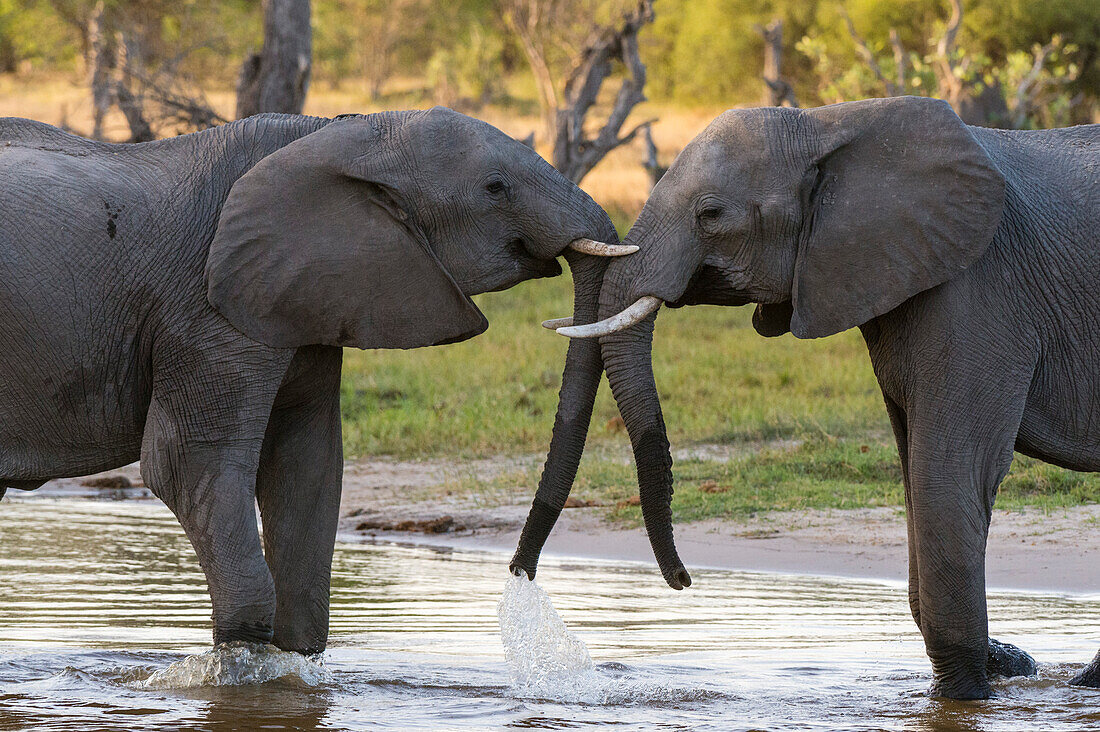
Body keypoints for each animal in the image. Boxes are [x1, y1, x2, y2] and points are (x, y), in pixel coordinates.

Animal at [0, 108, 638, 656]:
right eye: (495, 187)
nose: (518, 574)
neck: (332, 133)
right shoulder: (205, 307)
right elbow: (186, 465)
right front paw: (242, 671)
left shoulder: (307, 293)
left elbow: (307, 462)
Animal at [512, 94, 1100, 700]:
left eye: (710, 215)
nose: (683, 579)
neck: (826, 124)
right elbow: (915, 477)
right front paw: (999, 670)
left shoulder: (977, 292)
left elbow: (947, 470)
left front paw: (964, 699)